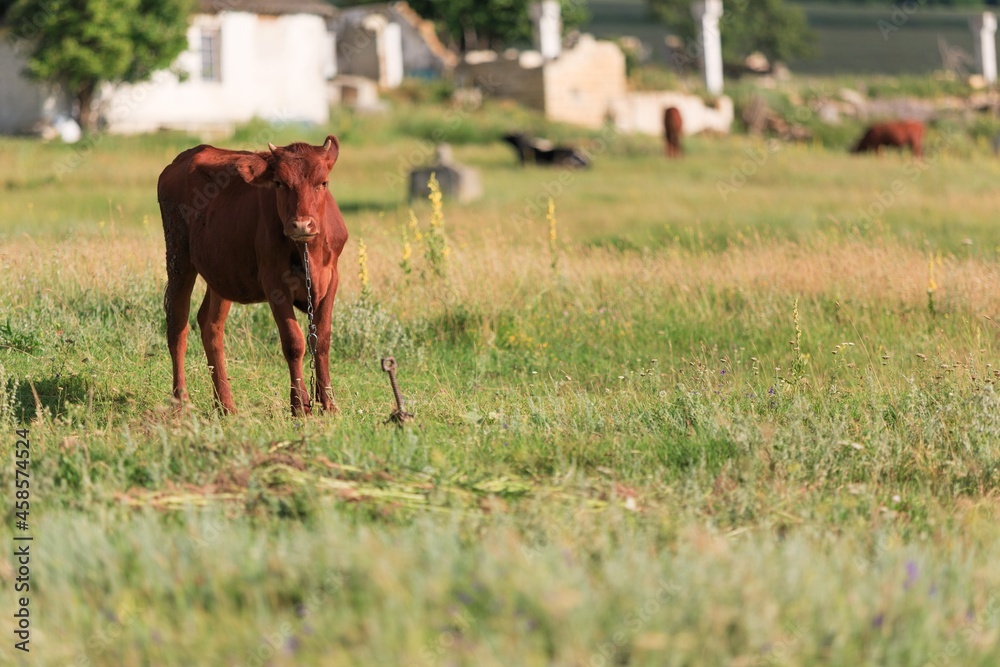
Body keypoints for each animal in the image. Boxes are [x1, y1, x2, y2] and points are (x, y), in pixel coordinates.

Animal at [154, 136, 346, 414]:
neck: (308, 251)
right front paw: (300, 406)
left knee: (210, 326)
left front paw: (329, 405)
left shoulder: (331, 279)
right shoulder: (274, 282)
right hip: (179, 258)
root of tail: (186, 156)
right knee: (178, 326)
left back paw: (225, 405)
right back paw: (181, 402)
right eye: (279, 183)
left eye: (323, 183)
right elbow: (294, 342)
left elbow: (321, 340)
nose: (301, 224)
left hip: (221, 272)